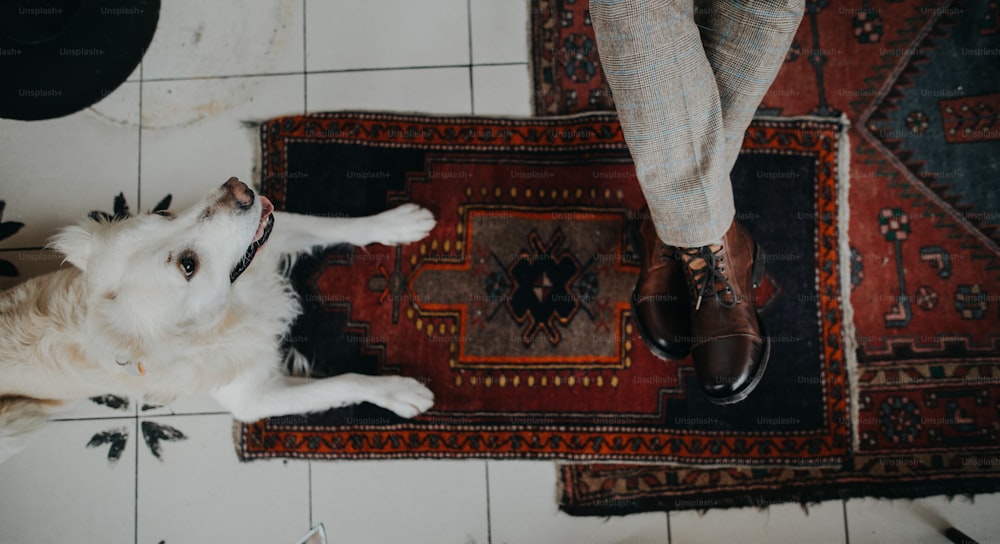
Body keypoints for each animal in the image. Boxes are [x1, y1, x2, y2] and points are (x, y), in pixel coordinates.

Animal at [0, 178, 438, 464]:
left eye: (164, 211)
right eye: (188, 265)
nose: (239, 187)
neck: (232, 305)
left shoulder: (265, 236)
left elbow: (330, 223)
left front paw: (396, 223)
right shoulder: (254, 398)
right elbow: (343, 382)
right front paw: (398, 392)